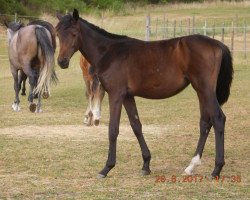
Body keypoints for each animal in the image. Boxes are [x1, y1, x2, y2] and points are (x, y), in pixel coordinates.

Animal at [55, 9, 233, 178]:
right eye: (57, 34)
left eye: (74, 33)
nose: (62, 62)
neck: (110, 52)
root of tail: (218, 44)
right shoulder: (127, 96)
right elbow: (136, 126)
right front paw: (146, 165)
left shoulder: (116, 94)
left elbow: (113, 129)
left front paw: (106, 168)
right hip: (201, 91)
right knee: (205, 122)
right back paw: (191, 166)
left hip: (205, 89)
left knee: (218, 119)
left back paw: (216, 169)